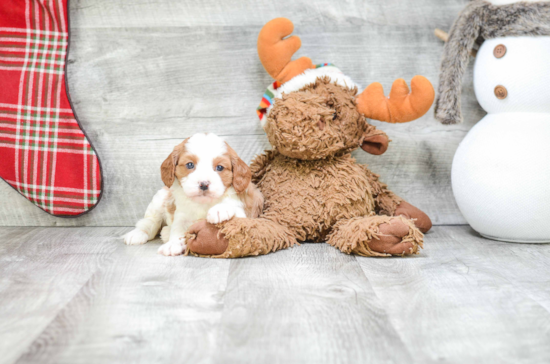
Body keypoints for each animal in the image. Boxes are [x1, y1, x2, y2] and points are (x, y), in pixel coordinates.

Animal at [123, 133, 266, 256]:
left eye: (220, 167)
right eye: (190, 165)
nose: (204, 184)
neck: (202, 203)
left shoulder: (244, 214)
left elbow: (233, 210)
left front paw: (220, 209)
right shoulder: (181, 216)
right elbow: (178, 230)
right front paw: (173, 244)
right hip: (160, 198)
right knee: (149, 221)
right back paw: (138, 234)